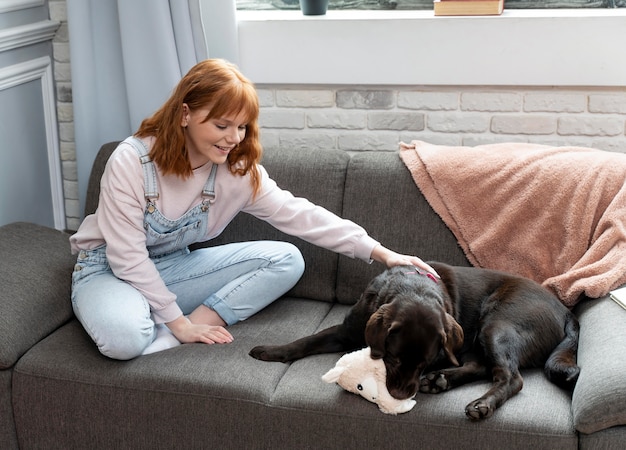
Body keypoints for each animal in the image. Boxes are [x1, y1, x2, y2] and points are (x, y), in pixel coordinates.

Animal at [246, 262, 576, 420]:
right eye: (393, 358)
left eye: (425, 361)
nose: (401, 395)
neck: (411, 287)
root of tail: (566, 311)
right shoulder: (347, 330)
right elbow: (309, 339)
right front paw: (272, 350)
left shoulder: (448, 349)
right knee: (484, 366)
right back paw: (440, 381)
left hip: (497, 326)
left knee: (509, 376)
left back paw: (479, 402)